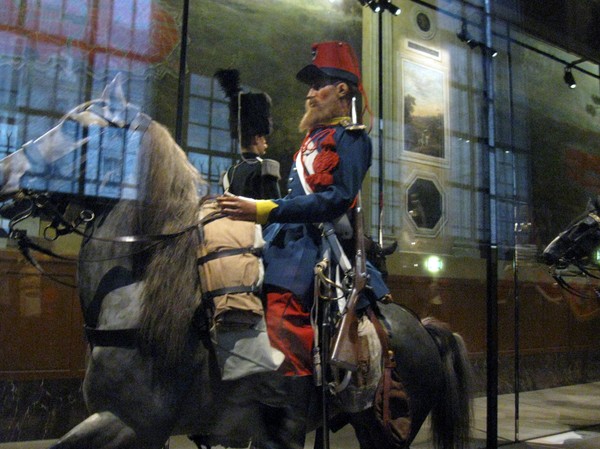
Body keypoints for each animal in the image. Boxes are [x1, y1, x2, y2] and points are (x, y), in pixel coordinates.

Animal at [0, 75, 474, 446]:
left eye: (75, 128)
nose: (5, 173)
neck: (141, 289)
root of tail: (421, 327)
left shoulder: (134, 424)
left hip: (382, 428)